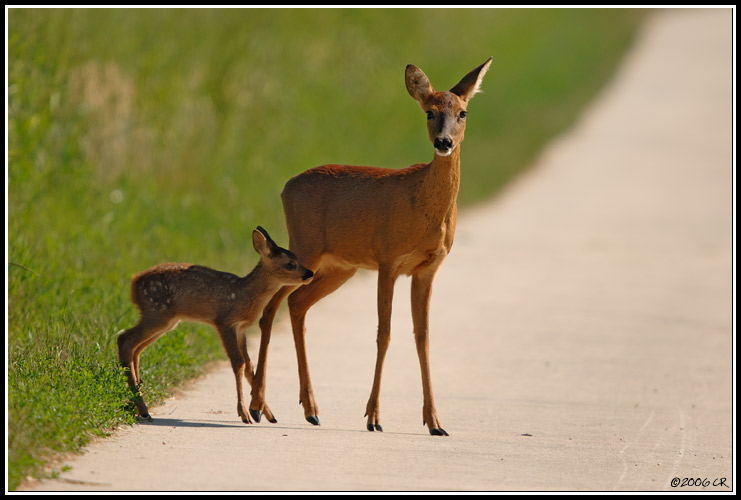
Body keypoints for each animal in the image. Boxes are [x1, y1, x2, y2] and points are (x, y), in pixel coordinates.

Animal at [116, 227, 312, 426]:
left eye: (297, 259)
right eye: (290, 264)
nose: (309, 273)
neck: (244, 295)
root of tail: (134, 282)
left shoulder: (241, 329)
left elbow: (249, 366)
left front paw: (267, 414)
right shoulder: (224, 321)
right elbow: (239, 364)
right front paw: (245, 414)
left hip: (165, 321)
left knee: (136, 348)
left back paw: (138, 405)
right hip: (157, 312)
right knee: (124, 339)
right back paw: (143, 409)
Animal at [247, 56, 492, 436]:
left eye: (462, 112)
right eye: (429, 111)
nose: (444, 142)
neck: (424, 208)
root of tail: (286, 186)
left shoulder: (428, 269)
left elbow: (422, 336)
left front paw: (435, 422)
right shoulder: (388, 260)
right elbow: (384, 333)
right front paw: (374, 417)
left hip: (338, 268)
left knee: (297, 304)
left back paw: (309, 410)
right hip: (304, 249)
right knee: (271, 307)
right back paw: (260, 407)